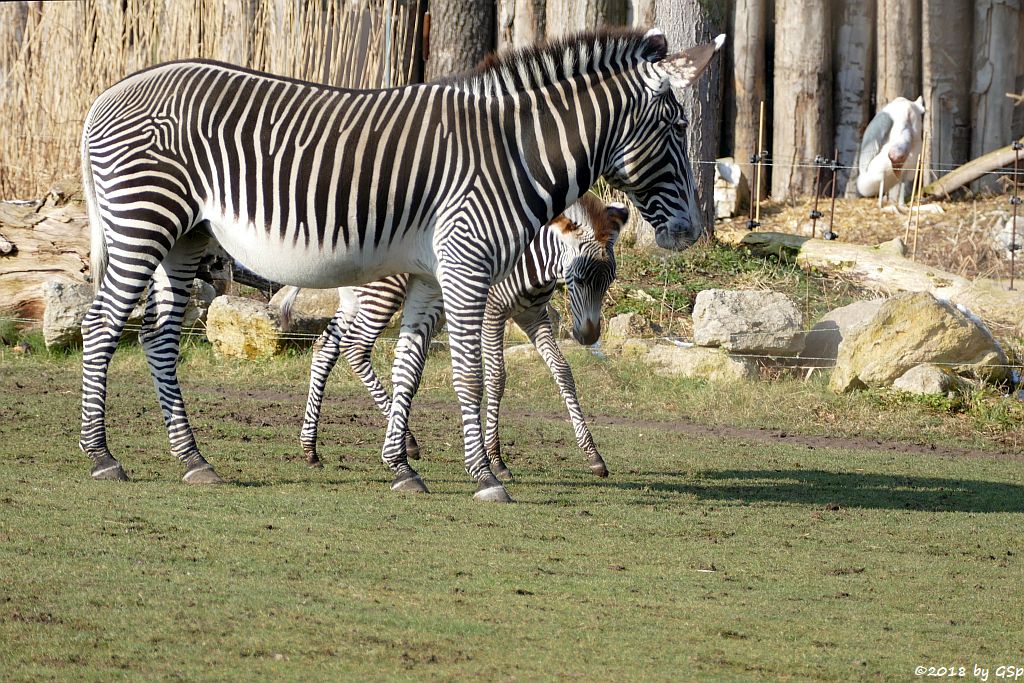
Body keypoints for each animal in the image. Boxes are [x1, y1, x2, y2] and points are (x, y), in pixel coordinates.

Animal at [79, 28, 724, 501]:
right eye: (678, 126)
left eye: (607, 277)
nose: (691, 232)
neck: (512, 155)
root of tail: (110, 92)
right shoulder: (469, 268)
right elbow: (472, 374)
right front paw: (484, 475)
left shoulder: (431, 275)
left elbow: (411, 365)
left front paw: (402, 467)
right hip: (143, 221)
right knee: (101, 325)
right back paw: (101, 455)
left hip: (186, 237)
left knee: (160, 336)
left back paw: (193, 458)